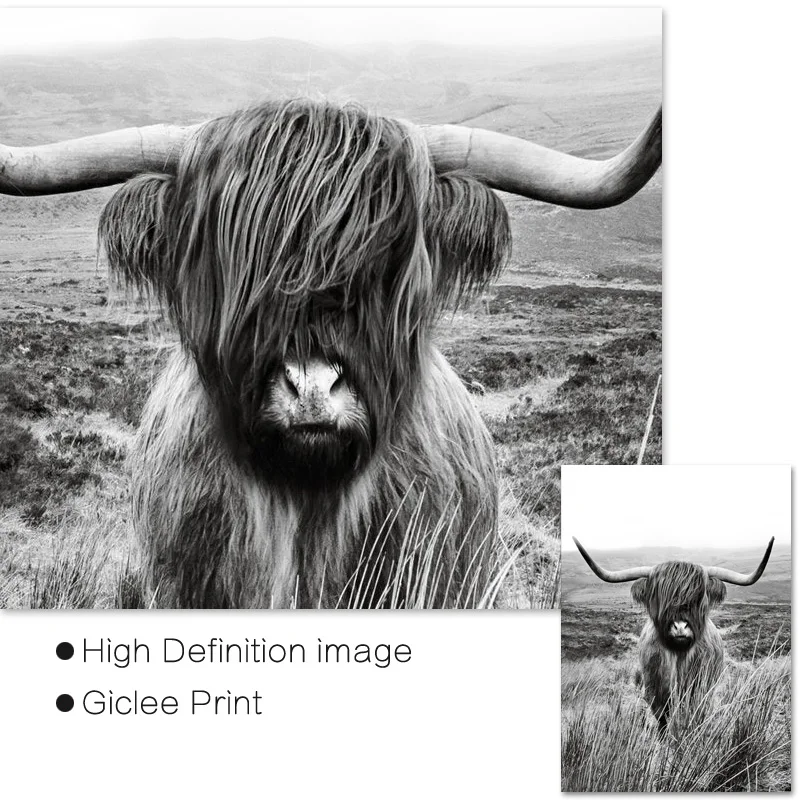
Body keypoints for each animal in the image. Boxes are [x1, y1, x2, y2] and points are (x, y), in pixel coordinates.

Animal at [572, 536, 775, 730]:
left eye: (699, 599)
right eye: (661, 599)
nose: (680, 626)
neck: (678, 656)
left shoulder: (701, 691)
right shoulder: (655, 692)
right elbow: (663, 720)